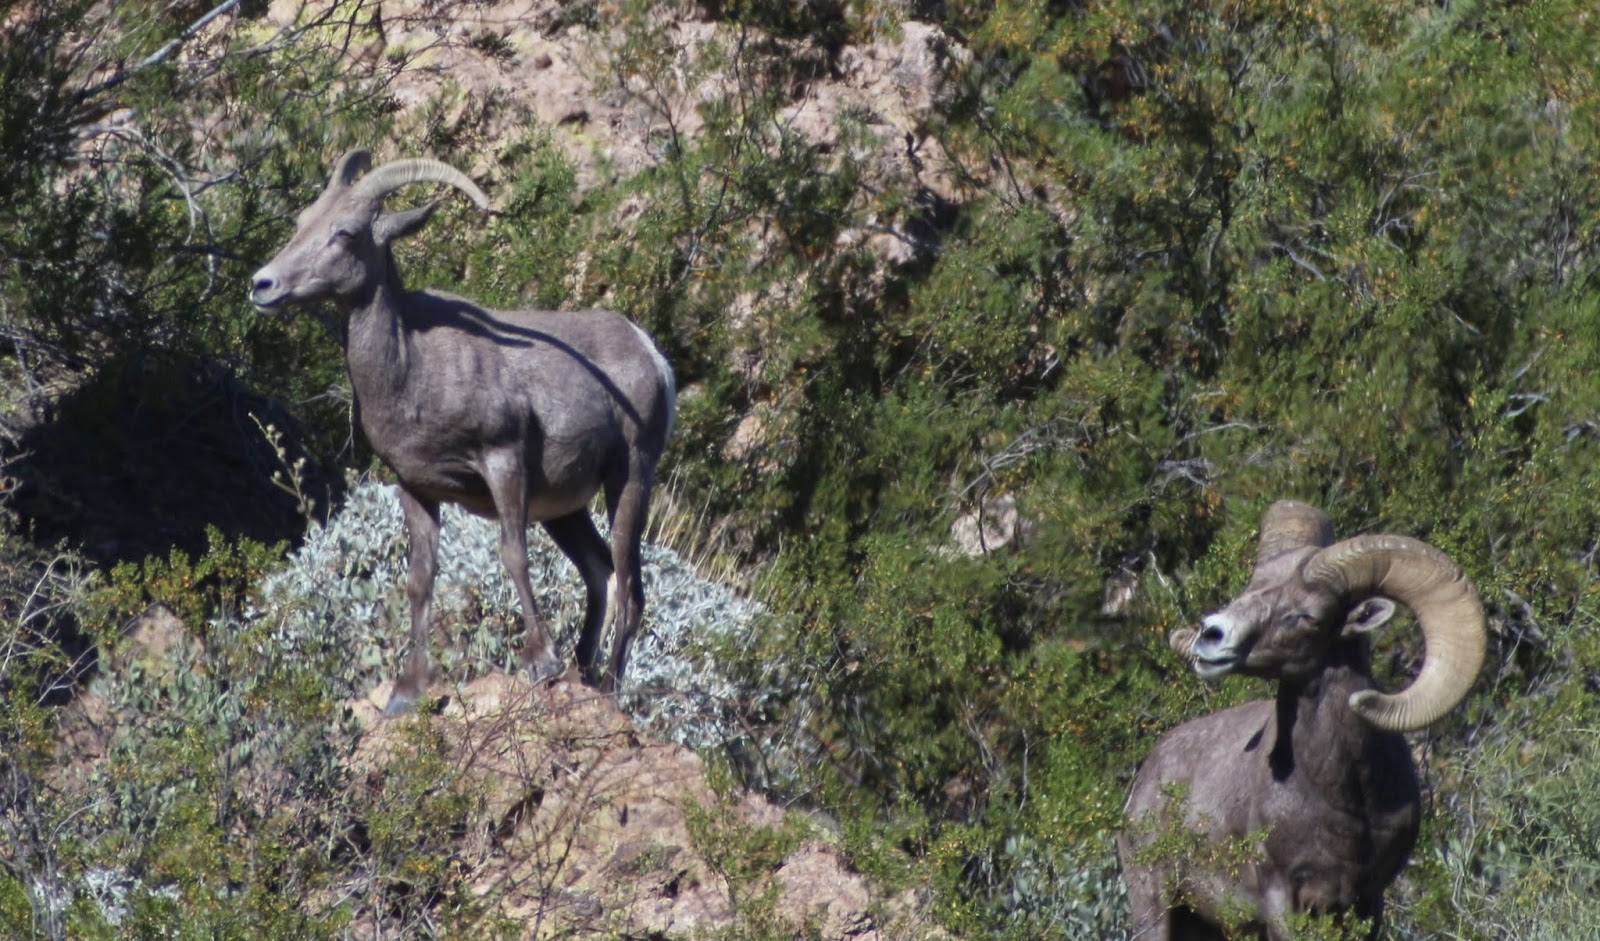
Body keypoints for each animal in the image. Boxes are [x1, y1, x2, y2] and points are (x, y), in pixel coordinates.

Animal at [249, 150, 676, 715]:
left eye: (345, 233)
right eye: (303, 222)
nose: (263, 285)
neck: (413, 368)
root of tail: (650, 354)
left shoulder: (502, 461)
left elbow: (512, 554)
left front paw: (540, 662)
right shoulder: (416, 489)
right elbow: (419, 580)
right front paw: (406, 693)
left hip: (629, 479)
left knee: (631, 585)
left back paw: (606, 686)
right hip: (565, 510)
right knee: (599, 571)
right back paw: (582, 672)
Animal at [1119, 500, 1485, 940]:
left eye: (1308, 617)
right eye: (1249, 591)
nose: (1210, 636)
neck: (1343, 796)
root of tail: (1143, 784)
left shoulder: (1367, 901)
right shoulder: (1284, 901)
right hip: (1155, 907)